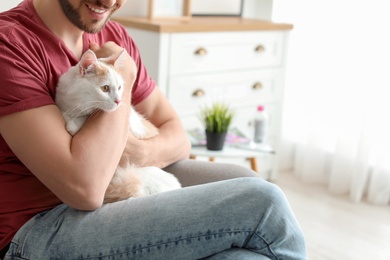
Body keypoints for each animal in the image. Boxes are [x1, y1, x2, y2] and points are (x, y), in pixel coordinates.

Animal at [54, 48, 181, 203]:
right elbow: (65, 111)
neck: (76, 103)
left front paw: (74, 123)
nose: (119, 101)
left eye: (120, 87)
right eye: (105, 88)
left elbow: (83, 119)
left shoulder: (132, 124)